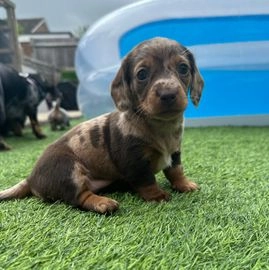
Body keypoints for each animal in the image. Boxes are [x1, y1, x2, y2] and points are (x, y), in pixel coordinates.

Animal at [0, 37, 202, 213]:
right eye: (142, 74)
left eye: (183, 68)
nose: (168, 94)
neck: (160, 126)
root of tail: (30, 178)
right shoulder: (134, 160)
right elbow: (147, 180)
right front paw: (157, 196)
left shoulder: (175, 151)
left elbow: (176, 170)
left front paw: (184, 184)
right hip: (69, 170)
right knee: (79, 197)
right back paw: (103, 203)